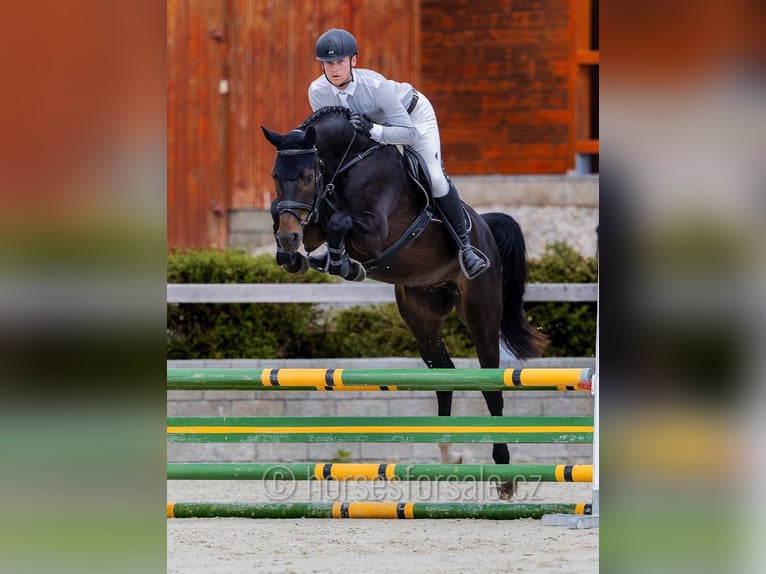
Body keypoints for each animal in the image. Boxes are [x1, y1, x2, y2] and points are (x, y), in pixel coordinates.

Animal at [262, 106, 549, 498]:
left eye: (307, 175)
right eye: (276, 176)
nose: (289, 239)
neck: (346, 163)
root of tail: (484, 228)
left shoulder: (375, 231)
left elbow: (340, 220)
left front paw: (341, 262)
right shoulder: (313, 219)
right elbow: (291, 212)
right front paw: (298, 256)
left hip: (481, 313)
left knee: (491, 385)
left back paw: (504, 476)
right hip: (422, 316)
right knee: (444, 375)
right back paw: (448, 453)